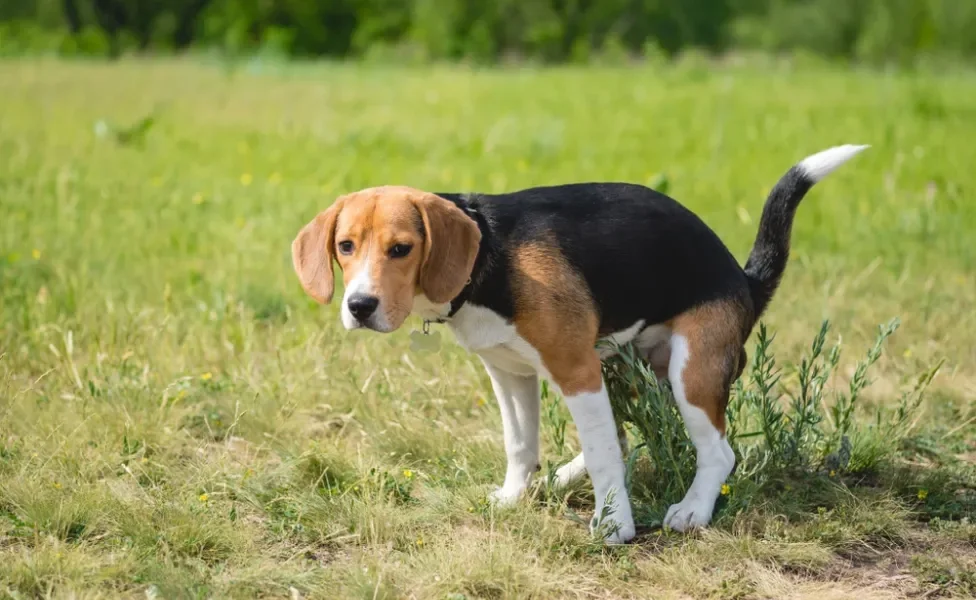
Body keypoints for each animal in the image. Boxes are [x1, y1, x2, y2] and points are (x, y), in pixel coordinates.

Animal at [292, 144, 868, 544]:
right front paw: (514, 497)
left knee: (716, 452)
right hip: (629, 368)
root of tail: (744, 280)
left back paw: (692, 510)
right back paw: (565, 476)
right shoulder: (510, 373)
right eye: (346, 246)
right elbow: (520, 444)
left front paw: (615, 526)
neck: (488, 256)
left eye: (401, 249)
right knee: (626, 434)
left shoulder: (575, 370)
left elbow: (604, 453)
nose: (359, 306)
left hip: (690, 372)